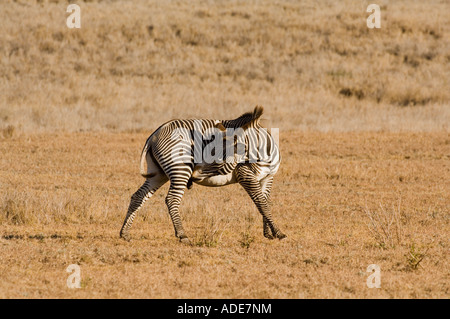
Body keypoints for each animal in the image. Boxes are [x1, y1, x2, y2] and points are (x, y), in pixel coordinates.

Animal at [119, 106, 286, 244]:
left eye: (215, 157)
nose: (195, 174)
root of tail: (155, 133)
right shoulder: (245, 175)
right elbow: (261, 203)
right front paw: (278, 233)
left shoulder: (268, 178)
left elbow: (265, 202)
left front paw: (268, 233)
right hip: (180, 169)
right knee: (171, 199)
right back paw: (182, 235)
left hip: (159, 174)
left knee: (139, 196)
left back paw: (125, 233)